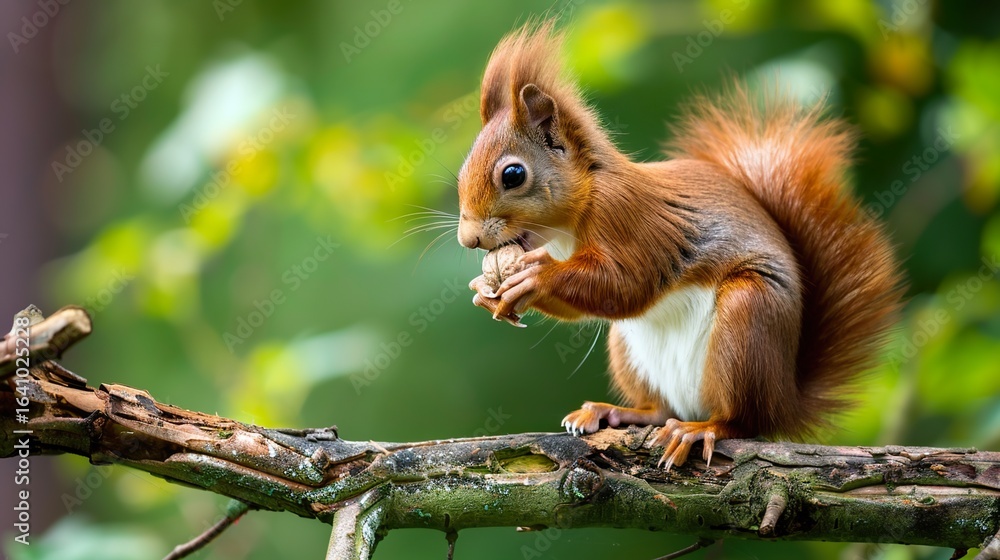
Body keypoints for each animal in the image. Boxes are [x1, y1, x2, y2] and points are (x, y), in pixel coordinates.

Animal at [457, 21, 904, 469]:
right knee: (661, 410)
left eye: (513, 174)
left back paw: (702, 429)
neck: (572, 218)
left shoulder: (628, 217)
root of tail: (784, 399)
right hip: (628, 349)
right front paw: (482, 291)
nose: (468, 239)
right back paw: (612, 412)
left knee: (743, 420)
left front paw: (535, 277)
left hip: (747, 320)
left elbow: (625, 284)